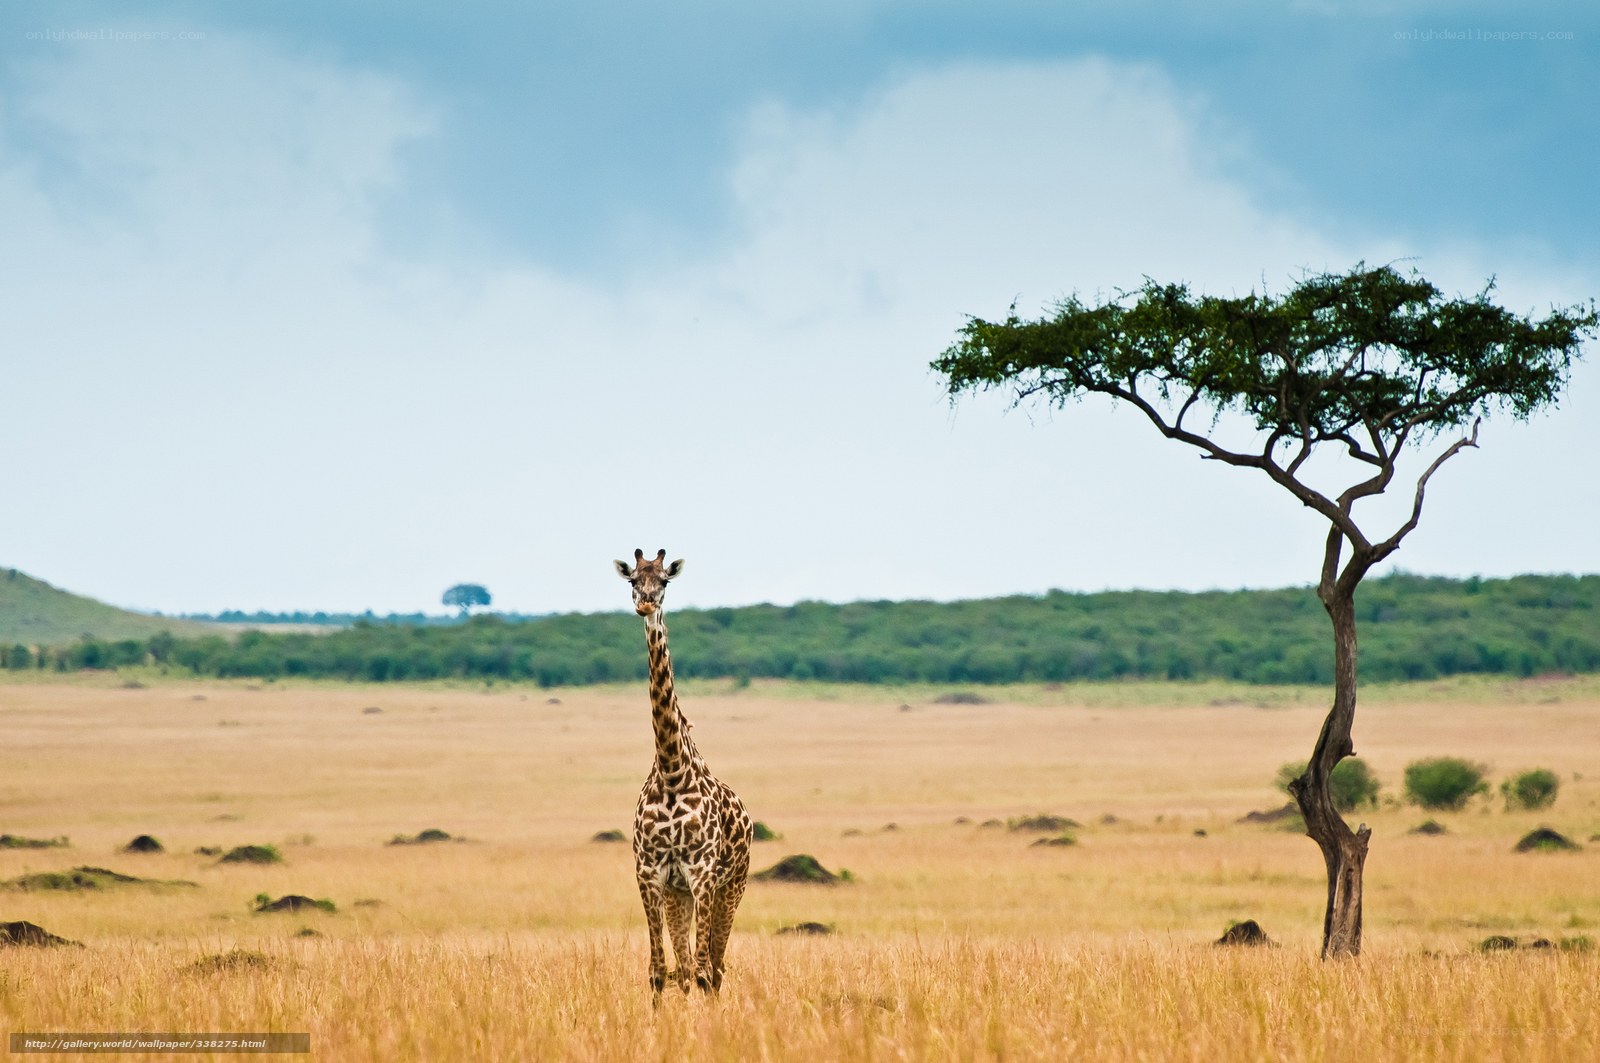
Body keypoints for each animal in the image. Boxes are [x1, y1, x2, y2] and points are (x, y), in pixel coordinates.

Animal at [613, 548, 753, 997]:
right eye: (633, 579)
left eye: (665, 581)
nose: (645, 604)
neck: (673, 771)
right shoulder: (650, 873)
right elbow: (660, 971)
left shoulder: (703, 873)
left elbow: (705, 970)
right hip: (680, 895)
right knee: (688, 966)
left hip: (732, 886)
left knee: (715, 967)